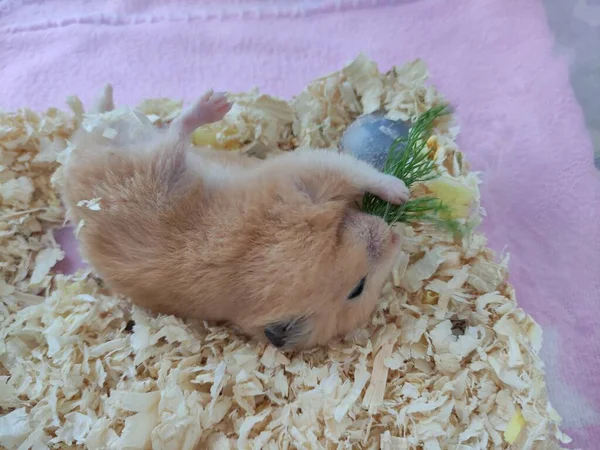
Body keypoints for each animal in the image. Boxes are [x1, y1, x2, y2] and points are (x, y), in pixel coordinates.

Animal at [62, 87, 408, 348]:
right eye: (358, 289)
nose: (397, 238)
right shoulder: (306, 181)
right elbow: (357, 171)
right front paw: (403, 192)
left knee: (98, 119)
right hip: (159, 174)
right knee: (174, 136)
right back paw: (216, 103)